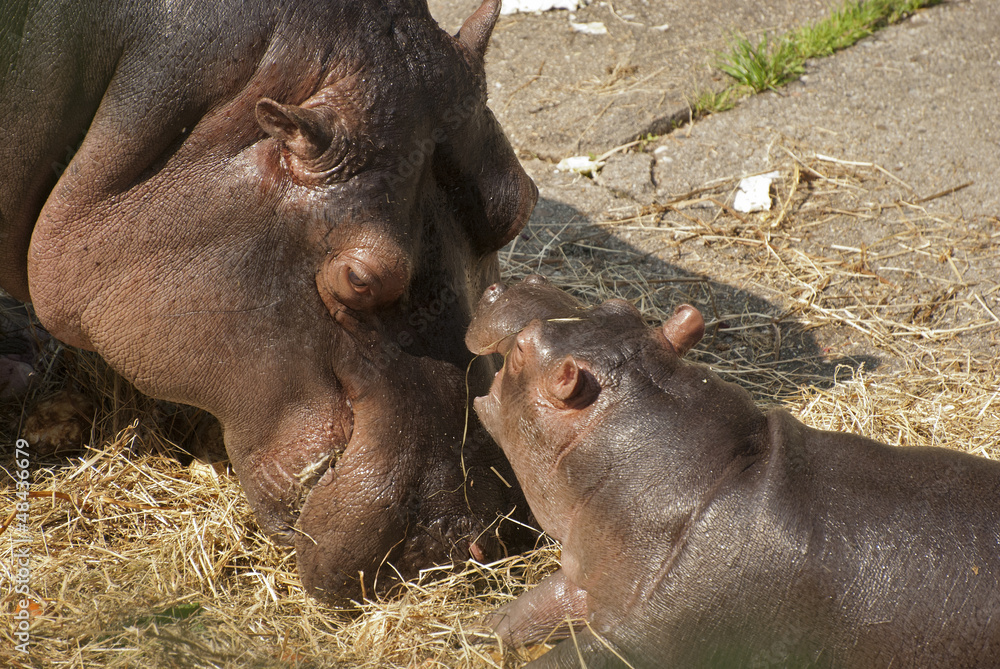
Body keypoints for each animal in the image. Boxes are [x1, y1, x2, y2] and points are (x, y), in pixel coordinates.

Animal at [464, 272, 1000, 668]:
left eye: (522, 349)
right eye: (619, 306)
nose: (517, 282)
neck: (716, 469)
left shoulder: (640, 638)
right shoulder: (594, 571)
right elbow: (535, 606)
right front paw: (479, 631)